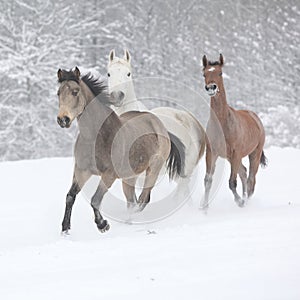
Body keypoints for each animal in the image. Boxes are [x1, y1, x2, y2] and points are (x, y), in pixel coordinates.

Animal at [55, 67, 184, 233]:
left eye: (75, 92)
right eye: (58, 93)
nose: (62, 119)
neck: (95, 137)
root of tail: (161, 126)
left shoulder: (109, 174)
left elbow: (95, 199)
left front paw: (103, 224)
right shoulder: (81, 170)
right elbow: (70, 196)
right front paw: (65, 229)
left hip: (153, 170)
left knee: (142, 200)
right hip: (129, 177)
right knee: (132, 201)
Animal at [200, 54, 266, 209]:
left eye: (220, 73)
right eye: (204, 74)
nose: (211, 88)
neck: (223, 123)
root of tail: (256, 118)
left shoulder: (236, 153)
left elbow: (232, 182)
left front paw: (240, 202)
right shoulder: (212, 153)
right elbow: (208, 180)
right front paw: (204, 208)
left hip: (254, 154)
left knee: (251, 179)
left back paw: (246, 201)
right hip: (232, 158)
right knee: (244, 173)